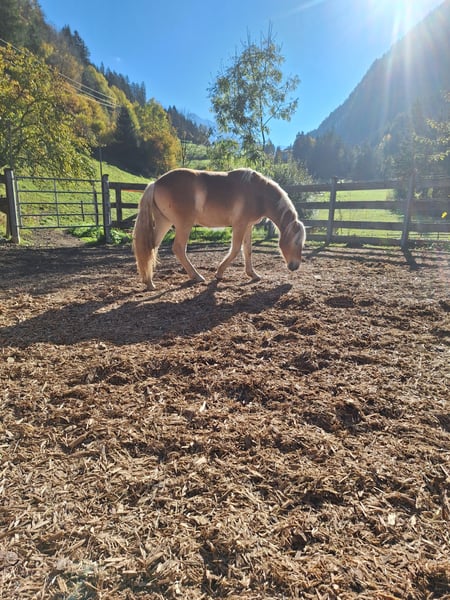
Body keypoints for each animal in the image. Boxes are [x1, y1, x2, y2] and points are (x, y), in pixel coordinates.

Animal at [133, 167, 306, 290]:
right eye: (297, 243)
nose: (295, 266)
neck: (258, 193)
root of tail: (155, 183)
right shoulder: (239, 225)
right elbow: (235, 250)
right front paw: (219, 273)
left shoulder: (248, 226)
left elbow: (247, 250)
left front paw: (253, 275)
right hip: (183, 224)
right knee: (179, 248)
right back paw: (196, 276)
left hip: (165, 222)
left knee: (151, 247)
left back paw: (149, 282)